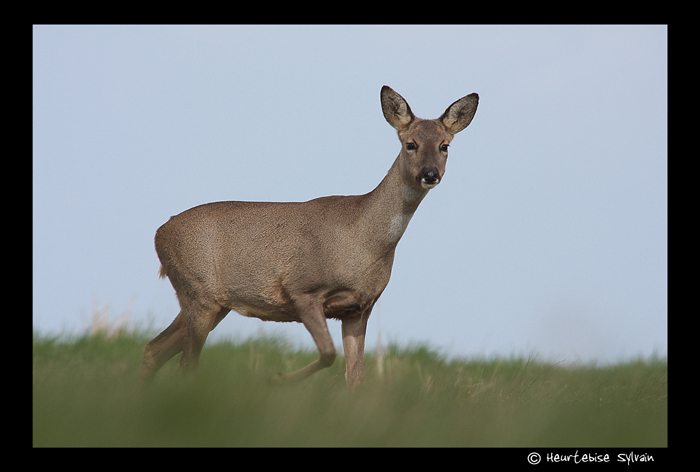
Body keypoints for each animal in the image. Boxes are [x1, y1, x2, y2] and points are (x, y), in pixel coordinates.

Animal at [138, 86, 476, 390]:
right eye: (410, 144)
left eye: (445, 145)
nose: (430, 174)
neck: (364, 241)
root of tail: (159, 233)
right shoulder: (303, 289)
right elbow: (328, 354)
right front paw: (277, 378)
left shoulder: (359, 308)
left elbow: (356, 379)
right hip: (198, 291)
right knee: (186, 362)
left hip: (211, 302)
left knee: (154, 348)